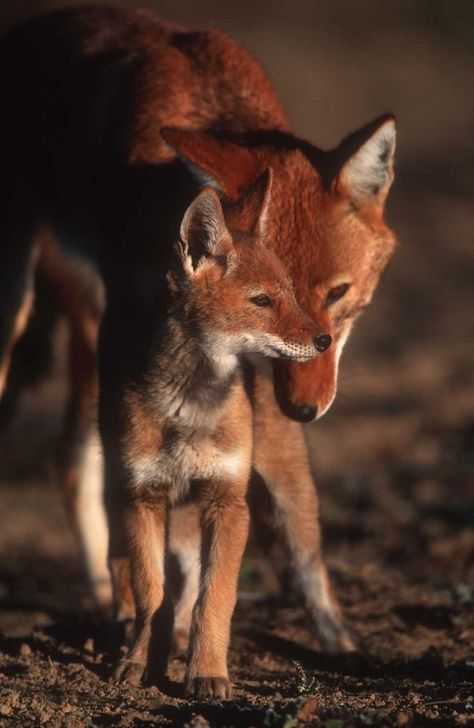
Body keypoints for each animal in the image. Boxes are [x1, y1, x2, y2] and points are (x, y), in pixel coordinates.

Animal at [0, 7, 398, 660]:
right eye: (275, 294)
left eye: (337, 296)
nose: (307, 409)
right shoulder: (129, 318)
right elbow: (141, 502)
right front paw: (150, 618)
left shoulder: (255, 367)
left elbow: (271, 503)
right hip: (23, 307)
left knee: (69, 459)